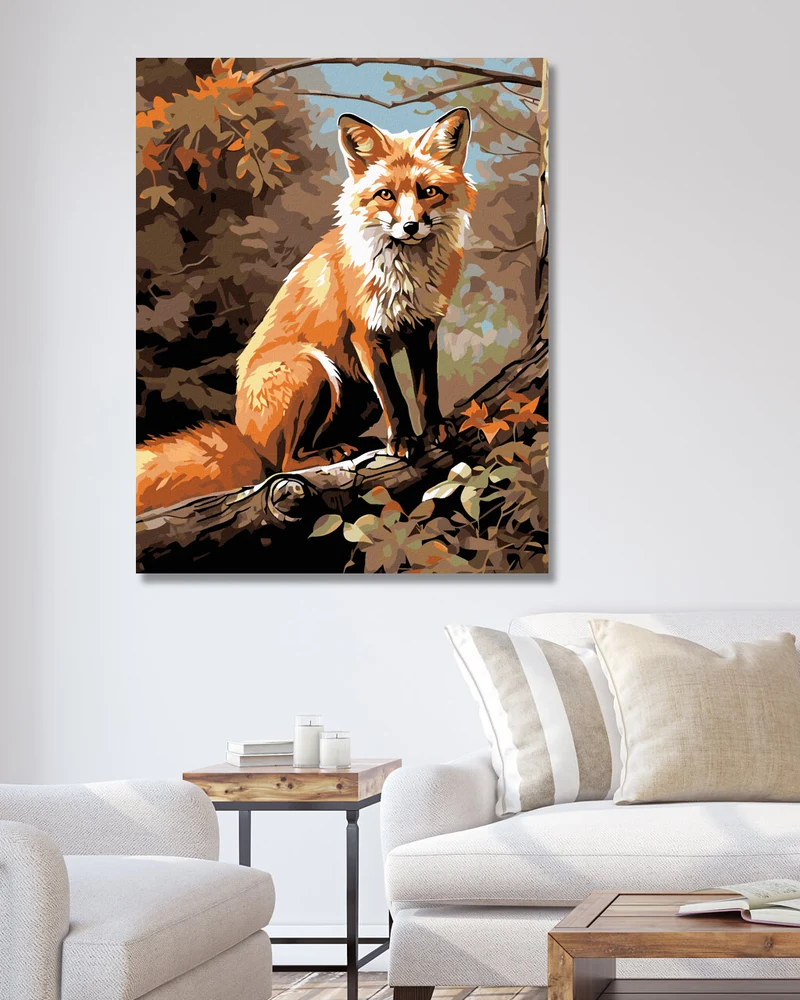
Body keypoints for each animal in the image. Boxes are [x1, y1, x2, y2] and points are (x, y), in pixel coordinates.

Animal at [136, 107, 476, 514]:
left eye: (428, 191)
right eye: (386, 195)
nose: (410, 226)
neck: (406, 275)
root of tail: (246, 437)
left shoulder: (422, 328)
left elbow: (427, 389)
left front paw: (435, 428)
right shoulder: (367, 335)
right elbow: (395, 397)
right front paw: (404, 441)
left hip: (357, 394)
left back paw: (352, 446)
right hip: (312, 368)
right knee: (284, 465)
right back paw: (332, 454)